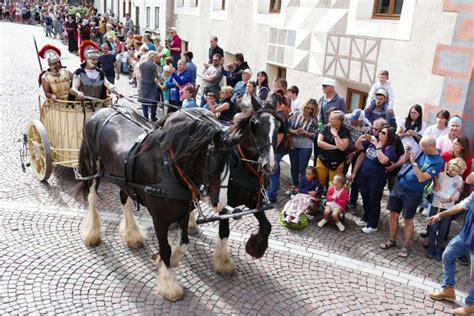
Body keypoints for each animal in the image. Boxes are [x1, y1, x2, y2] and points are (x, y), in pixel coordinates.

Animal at [77, 107, 236, 302]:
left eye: (233, 162)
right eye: (213, 162)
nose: (221, 204)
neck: (170, 171)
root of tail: (101, 111)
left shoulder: (183, 213)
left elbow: (184, 242)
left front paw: (169, 260)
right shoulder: (160, 220)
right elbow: (165, 248)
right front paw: (169, 284)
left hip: (122, 178)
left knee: (124, 198)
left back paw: (132, 234)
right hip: (94, 170)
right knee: (92, 198)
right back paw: (92, 234)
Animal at [188, 95, 286, 274]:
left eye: (278, 127)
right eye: (256, 125)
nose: (269, 165)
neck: (242, 165)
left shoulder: (255, 201)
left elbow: (267, 226)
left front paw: (255, 247)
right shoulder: (222, 203)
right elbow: (224, 231)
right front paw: (223, 262)